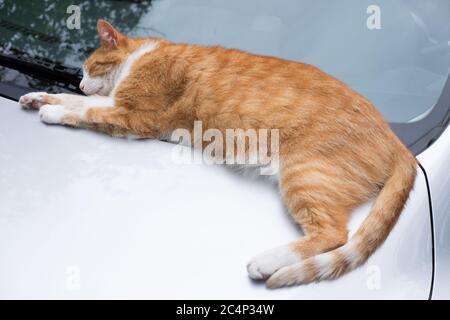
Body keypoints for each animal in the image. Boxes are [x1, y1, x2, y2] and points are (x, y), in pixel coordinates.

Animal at [19, 20, 416, 288]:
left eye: (89, 67)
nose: (82, 82)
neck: (142, 56)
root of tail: (397, 142)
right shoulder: (118, 105)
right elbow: (75, 101)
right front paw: (41, 97)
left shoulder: (135, 117)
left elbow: (84, 111)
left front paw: (52, 111)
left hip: (305, 174)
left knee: (334, 234)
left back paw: (267, 262)